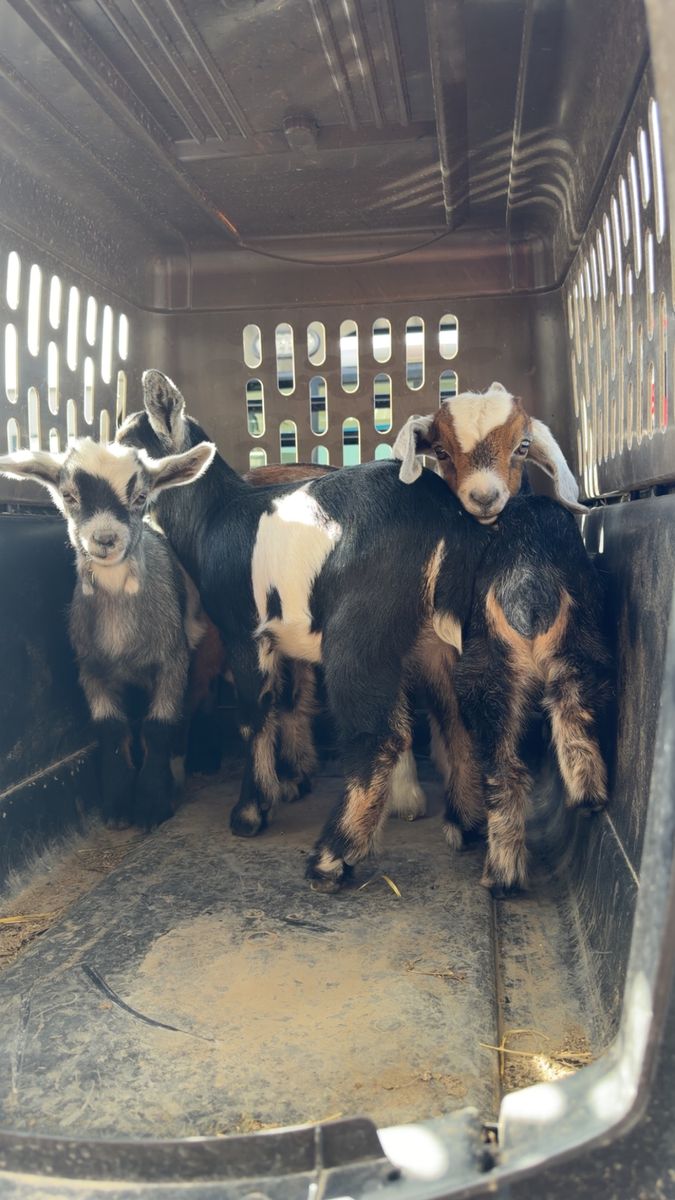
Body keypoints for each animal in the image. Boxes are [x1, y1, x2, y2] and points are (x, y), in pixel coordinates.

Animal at [0, 437, 215, 830]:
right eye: (69, 496)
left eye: (141, 496)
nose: (105, 539)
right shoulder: (91, 669)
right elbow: (112, 729)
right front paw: (117, 806)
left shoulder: (172, 662)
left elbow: (159, 726)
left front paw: (151, 805)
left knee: (198, 704)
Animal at [117, 370, 495, 890]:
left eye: (127, 451)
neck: (214, 516)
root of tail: (443, 518)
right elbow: (286, 702)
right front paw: (286, 784)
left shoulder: (244, 631)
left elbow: (253, 714)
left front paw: (250, 812)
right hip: (437, 636)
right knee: (456, 716)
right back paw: (464, 823)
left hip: (358, 631)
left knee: (380, 736)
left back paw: (332, 857)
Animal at [394, 384, 610, 894]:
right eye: (442, 451)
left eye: (523, 446)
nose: (485, 497)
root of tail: (525, 571)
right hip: (582, 635)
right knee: (575, 707)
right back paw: (588, 792)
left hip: (487, 668)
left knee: (501, 765)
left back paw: (502, 870)